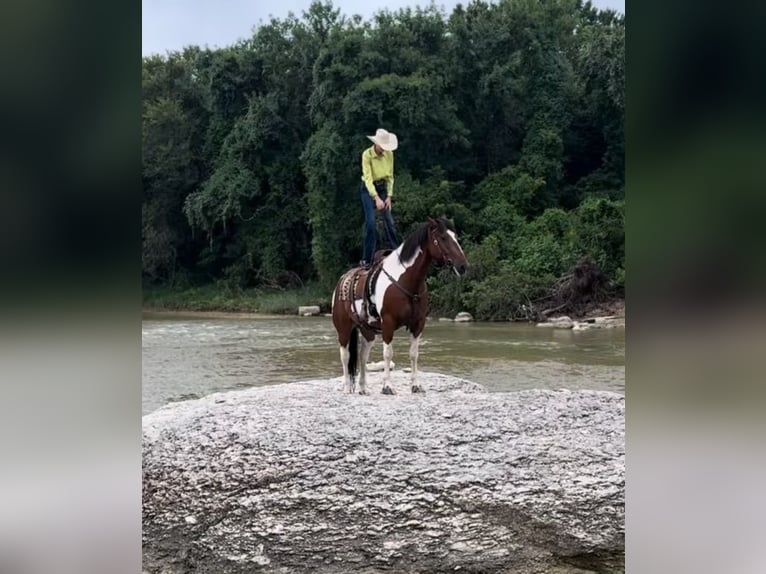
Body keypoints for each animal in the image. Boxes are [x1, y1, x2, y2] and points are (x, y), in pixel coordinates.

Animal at [330, 217, 468, 396]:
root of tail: (342, 280)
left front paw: (416, 385)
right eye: (443, 238)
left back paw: (363, 388)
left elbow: (414, 354)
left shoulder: (418, 324)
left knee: (362, 357)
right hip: (344, 329)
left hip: (368, 332)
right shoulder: (388, 323)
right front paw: (387, 386)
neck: (405, 281)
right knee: (345, 356)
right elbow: (388, 354)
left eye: (456, 237)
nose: (463, 266)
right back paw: (347, 387)